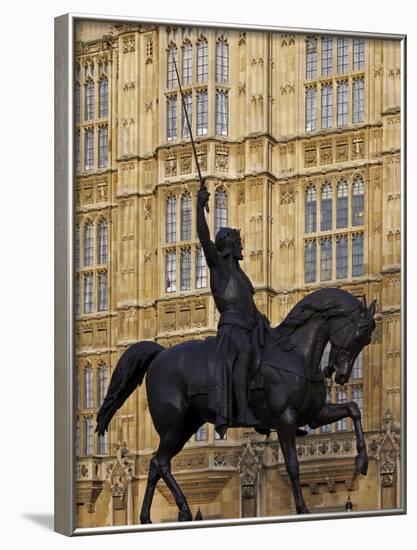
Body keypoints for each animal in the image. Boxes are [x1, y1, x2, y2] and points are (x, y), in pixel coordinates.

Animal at [97, 292, 376, 524]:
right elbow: (293, 465)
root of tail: (160, 354)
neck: (296, 355)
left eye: (367, 340)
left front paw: (362, 461)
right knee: (161, 462)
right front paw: (303, 509)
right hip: (172, 424)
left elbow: (354, 409)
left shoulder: (312, 415)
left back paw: (147, 517)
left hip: (187, 425)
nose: (340, 375)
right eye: (358, 334)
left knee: (156, 463)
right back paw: (183, 510)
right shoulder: (285, 419)